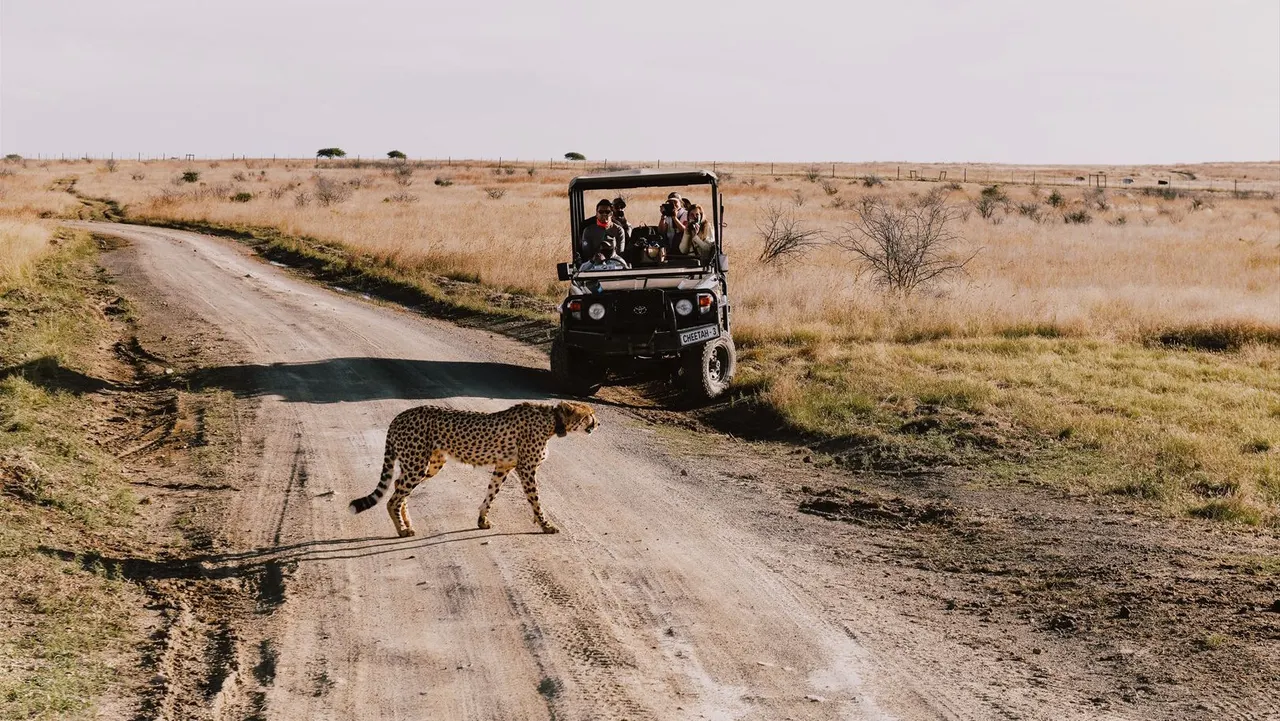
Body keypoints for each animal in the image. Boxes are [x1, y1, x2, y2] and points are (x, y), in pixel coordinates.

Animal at [348, 400, 598, 537]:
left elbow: (491, 494)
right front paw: (546, 525)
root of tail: (399, 416)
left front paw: (482, 521)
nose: (598, 424)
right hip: (417, 464)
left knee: (399, 487)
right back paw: (402, 530)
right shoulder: (526, 469)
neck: (552, 420)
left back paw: (406, 522)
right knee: (393, 497)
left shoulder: (503, 466)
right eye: (589, 415)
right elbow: (536, 500)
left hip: (428, 464)